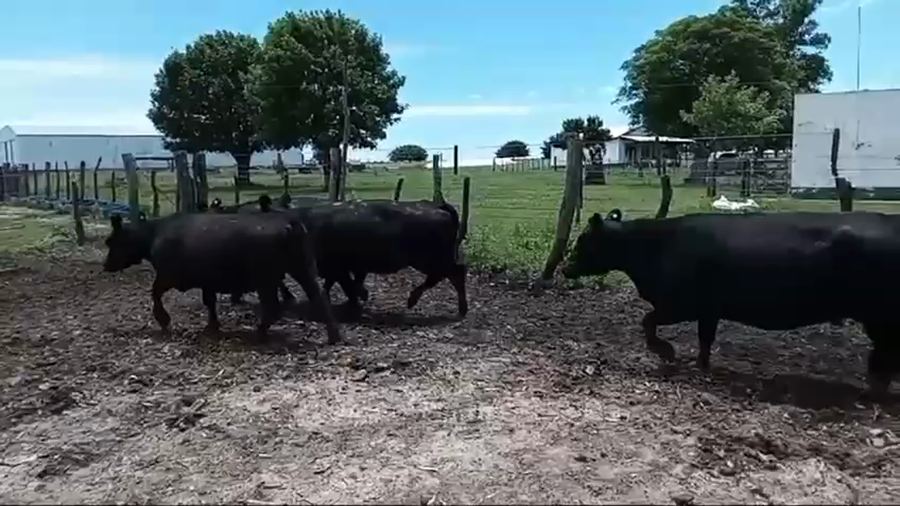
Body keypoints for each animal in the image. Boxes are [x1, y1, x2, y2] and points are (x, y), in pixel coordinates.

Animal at [101, 212, 342, 344]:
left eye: (111, 241)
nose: (106, 265)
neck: (155, 234)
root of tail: (288, 223)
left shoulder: (168, 276)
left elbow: (155, 292)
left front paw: (163, 320)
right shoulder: (207, 282)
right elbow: (209, 302)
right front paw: (212, 325)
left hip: (266, 279)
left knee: (274, 306)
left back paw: (259, 333)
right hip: (302, 270)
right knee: (318, 297)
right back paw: (333, 336)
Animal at [561, 209, 900, 397]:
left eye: (583, 241)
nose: (565, 268)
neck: (655, 246)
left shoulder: (683, 304)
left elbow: (648, 321)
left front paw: (667, 353)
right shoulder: (709, 310)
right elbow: (704, 339)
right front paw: (701, 365)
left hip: (880, 316)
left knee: (885, 354)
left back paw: (873, 389)